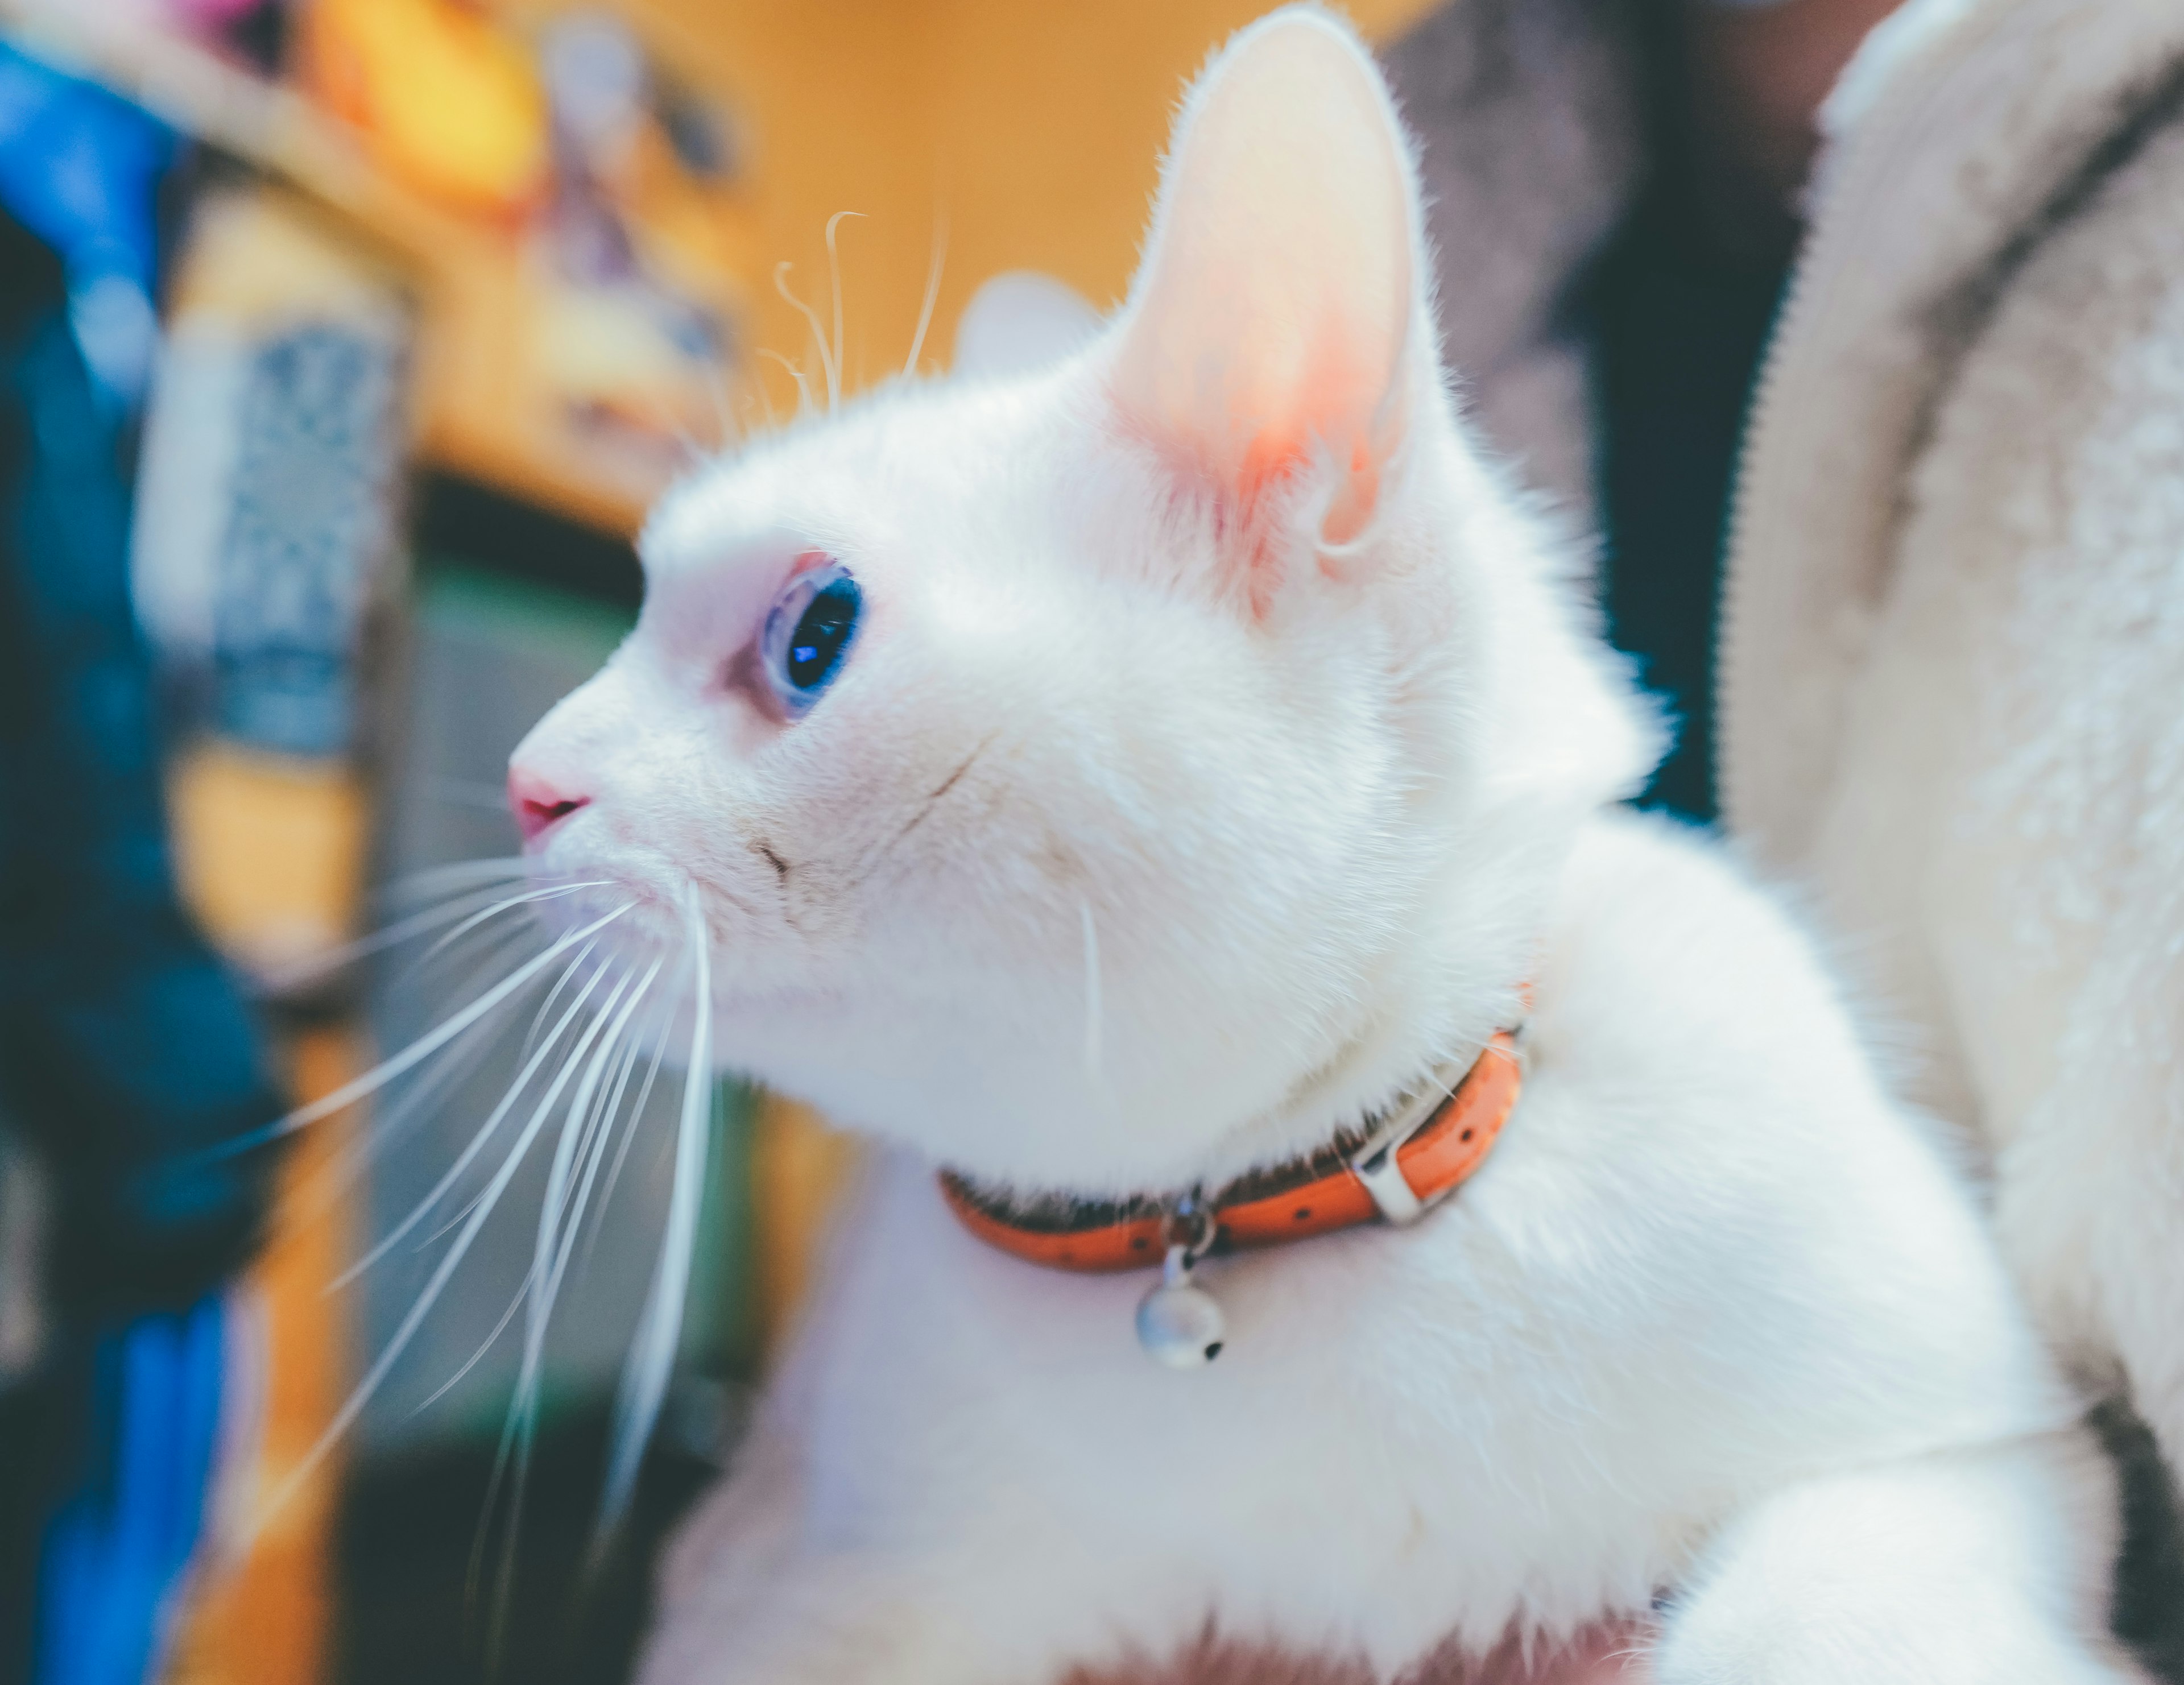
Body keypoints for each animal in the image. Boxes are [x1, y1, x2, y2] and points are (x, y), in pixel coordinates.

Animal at [502, 13, 2140, 1685]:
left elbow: (1827, 1618)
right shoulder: (793, 1579)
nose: (525, 779)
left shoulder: (1965, 1444)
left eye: (814, 634)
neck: (1244, 1220)